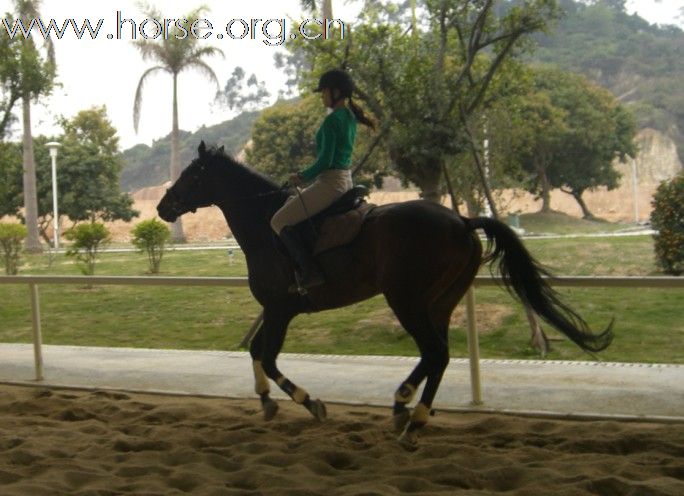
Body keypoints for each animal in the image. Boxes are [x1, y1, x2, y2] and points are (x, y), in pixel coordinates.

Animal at [158, 141, 612, 448]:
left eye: (191, 176)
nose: (163, 207)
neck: (264, 224)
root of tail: (462, 221)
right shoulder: (276, 310)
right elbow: (256, 353)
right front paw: (267, 402)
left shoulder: (280, 308)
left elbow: (267, 357)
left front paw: (310, 403)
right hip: (439, 302)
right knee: (438, 355)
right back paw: (410, 415)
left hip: (406, 300)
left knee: (434, 352)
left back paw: (406, 408)